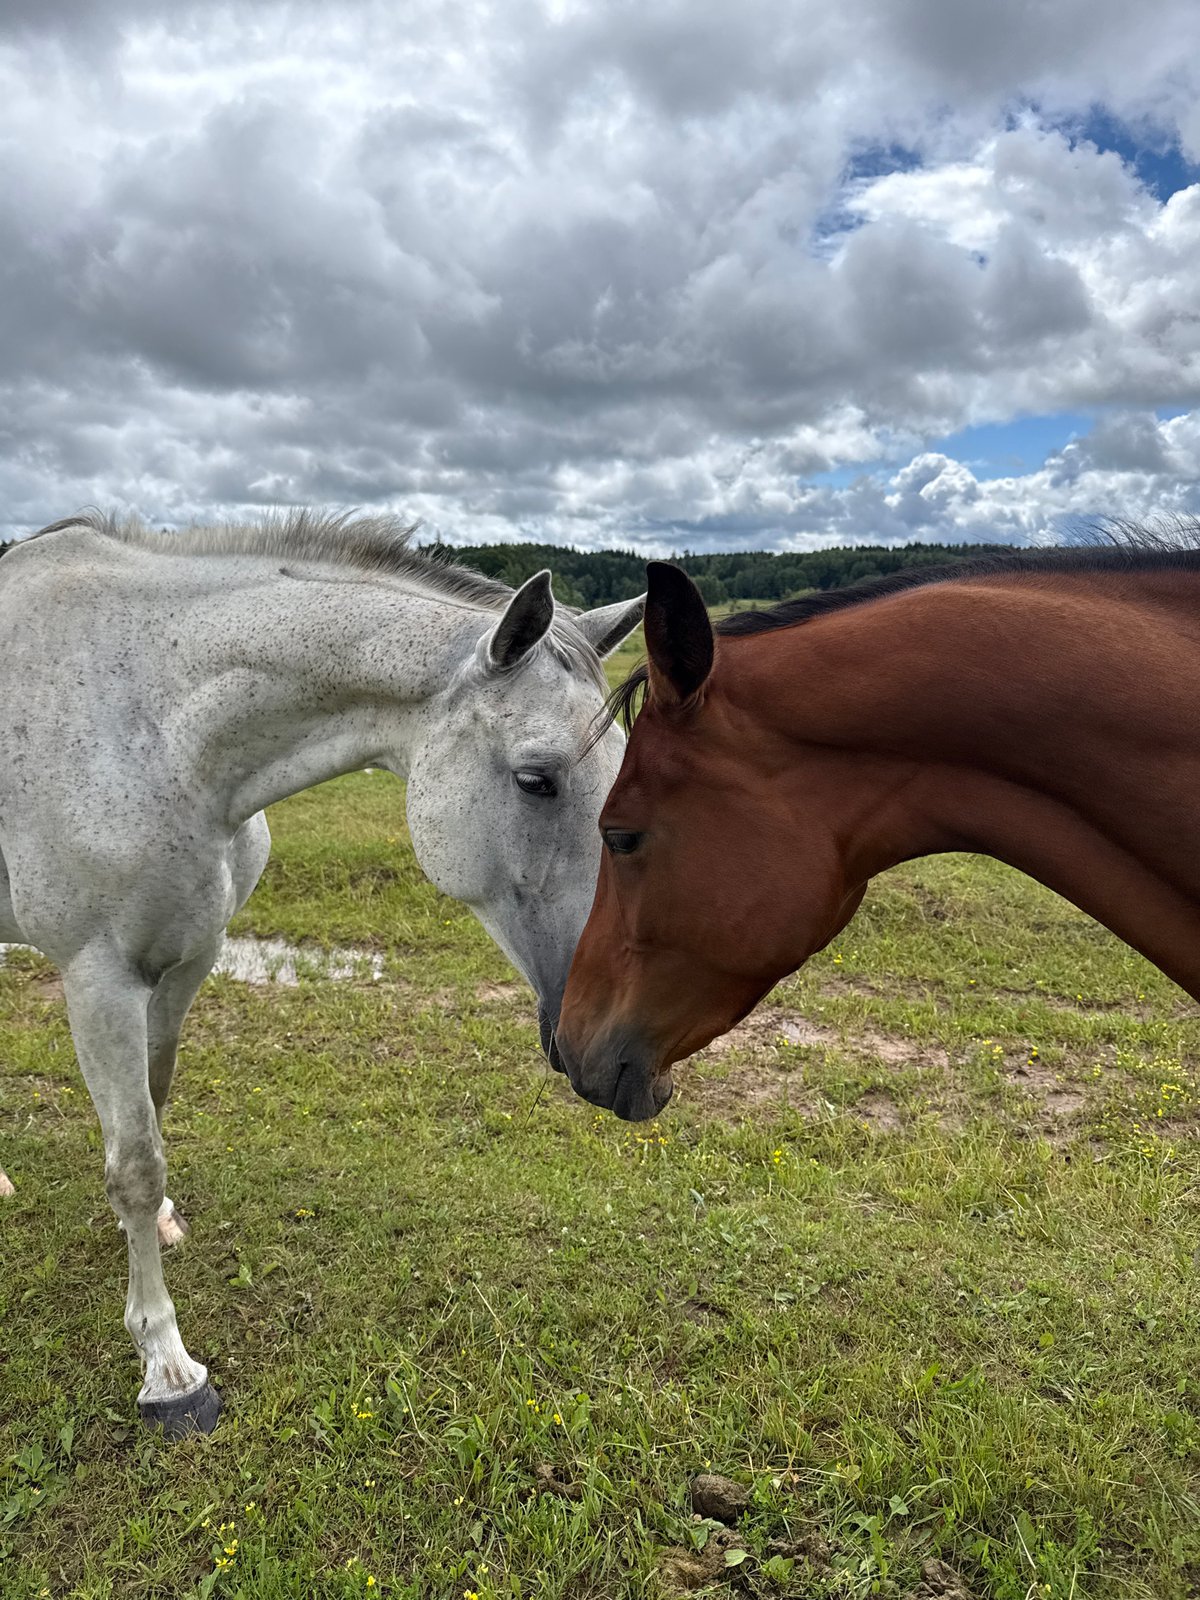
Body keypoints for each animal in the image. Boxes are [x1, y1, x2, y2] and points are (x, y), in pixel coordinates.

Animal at [0, 511, 642, 1434]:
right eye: (536, 779)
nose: (626, 1056)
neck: (152, 722)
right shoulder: (98, 977)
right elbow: (134, 1164)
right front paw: (168, 1368)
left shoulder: (190, 957)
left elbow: (152, 1115)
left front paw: (157, 1234)